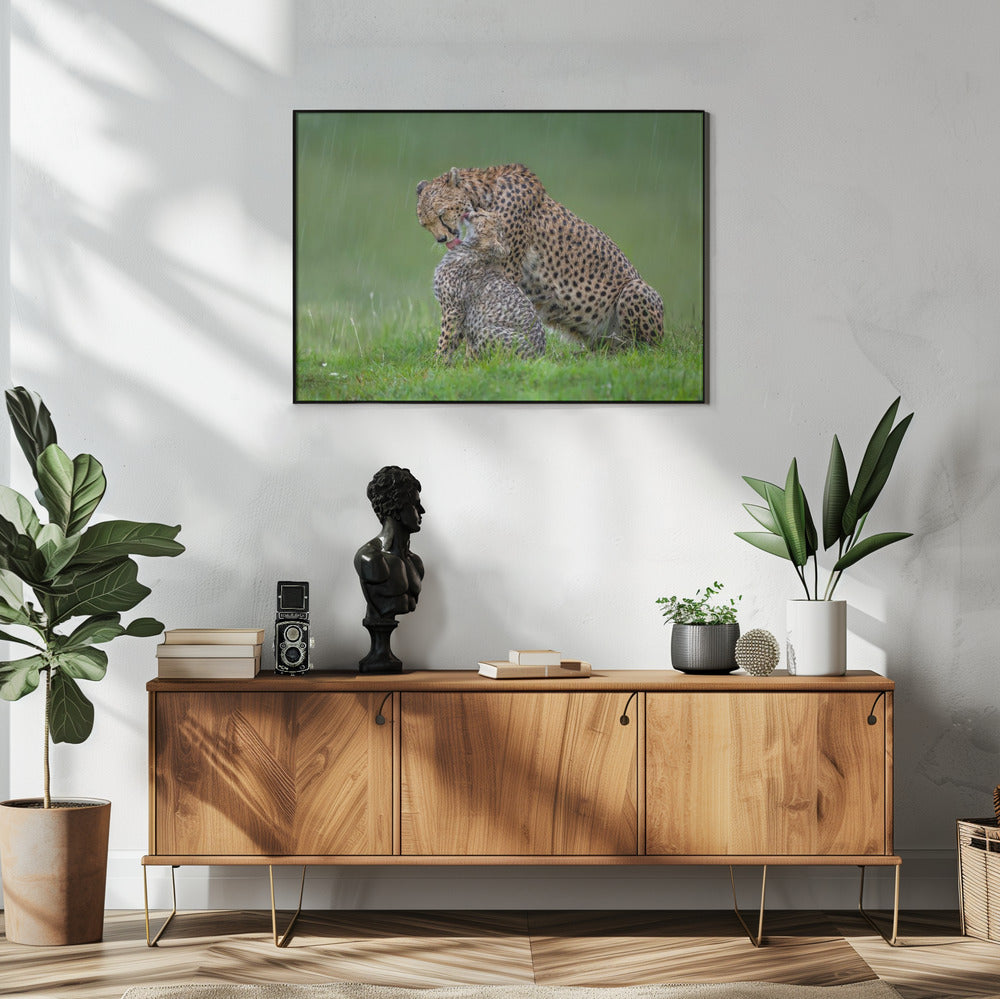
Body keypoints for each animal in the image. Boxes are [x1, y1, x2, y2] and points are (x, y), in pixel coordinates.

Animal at [432, 208, 546, 361]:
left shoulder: (454, 310)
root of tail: (539, 356)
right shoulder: (462, 316)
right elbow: (454, 342)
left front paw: (435, 362)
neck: (473, 249)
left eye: (482, 215)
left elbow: (445, 340)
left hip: (485, 329)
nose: (473, 211)